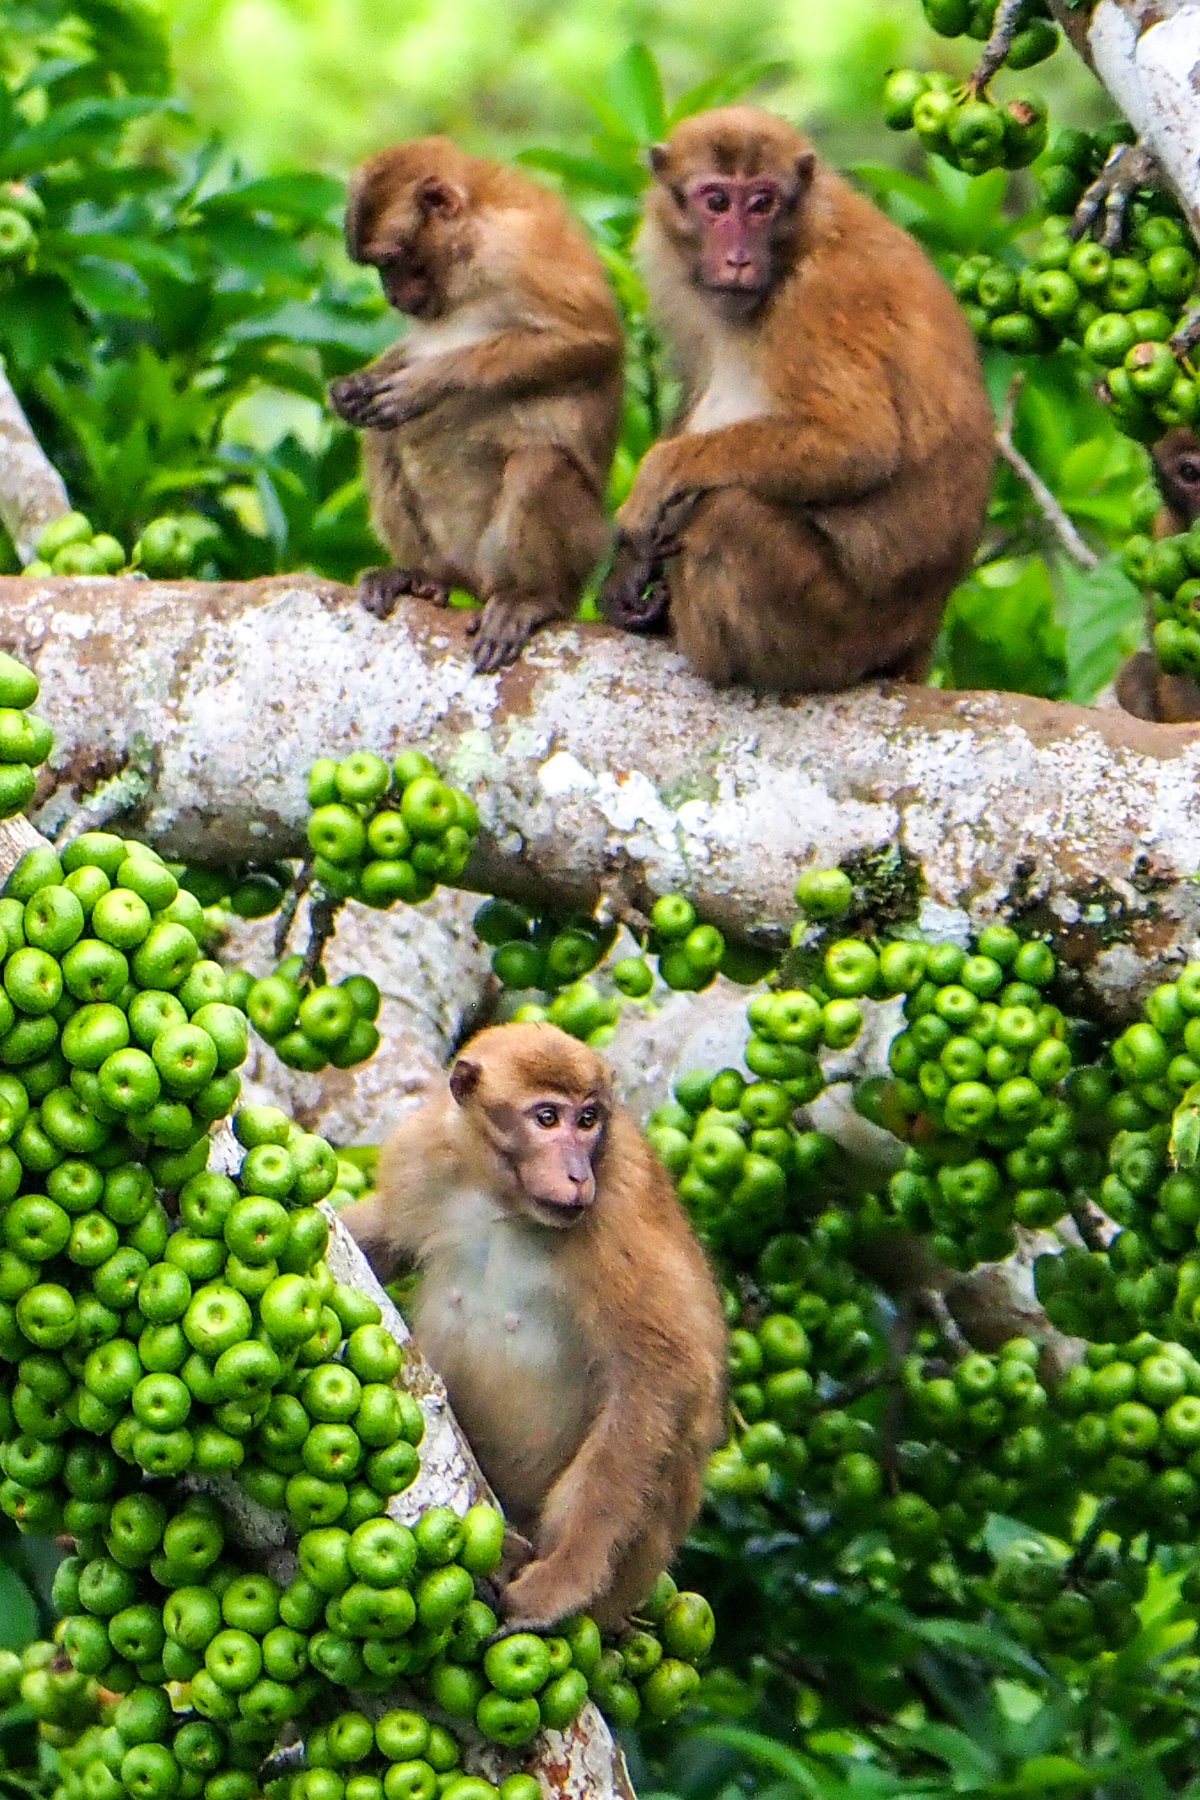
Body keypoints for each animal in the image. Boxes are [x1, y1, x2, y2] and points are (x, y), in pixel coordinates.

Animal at [328, 140, 624, 673]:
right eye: (379, 267)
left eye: (392, 261)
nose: (391, 294)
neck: (468, 245)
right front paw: (355, 387)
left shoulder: (519, 247)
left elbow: (590, 340)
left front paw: (426, 384)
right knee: (382, 441)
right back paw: (420, 576)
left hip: (577, 552)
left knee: (538, 464)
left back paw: (533, 597)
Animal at [340, 1022, 727, 1631]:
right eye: (546, 1118)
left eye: (587, 1120)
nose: (576, 1173)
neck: (506, 1202)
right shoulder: (422, 1157)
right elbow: (377, 1240)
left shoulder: (615, 1211)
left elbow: (665, 1371)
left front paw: (564, 1578)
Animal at [597, 107, 995, 694]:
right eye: (717, 201)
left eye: (762, 203)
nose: (738, 258)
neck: (796, 245)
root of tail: (923, 630)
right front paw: (627, 568)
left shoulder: (822, 300)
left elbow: (858, 444)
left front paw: (658, 476)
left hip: (841, 632)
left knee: (729, 515)